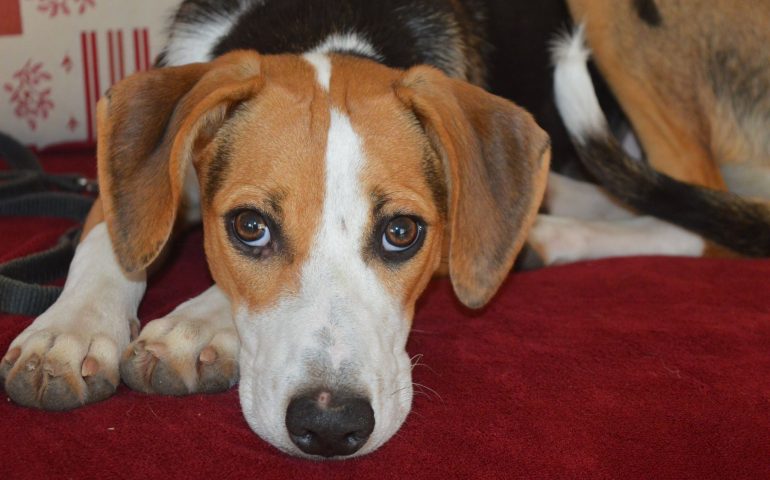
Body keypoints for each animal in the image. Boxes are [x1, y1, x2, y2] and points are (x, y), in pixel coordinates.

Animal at [1, 0, 552, 458]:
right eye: (250, 226)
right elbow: (110, 242)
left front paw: (194, 326)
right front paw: (69, 332)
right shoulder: (128, 184)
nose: (330, 425)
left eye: (401, 232)